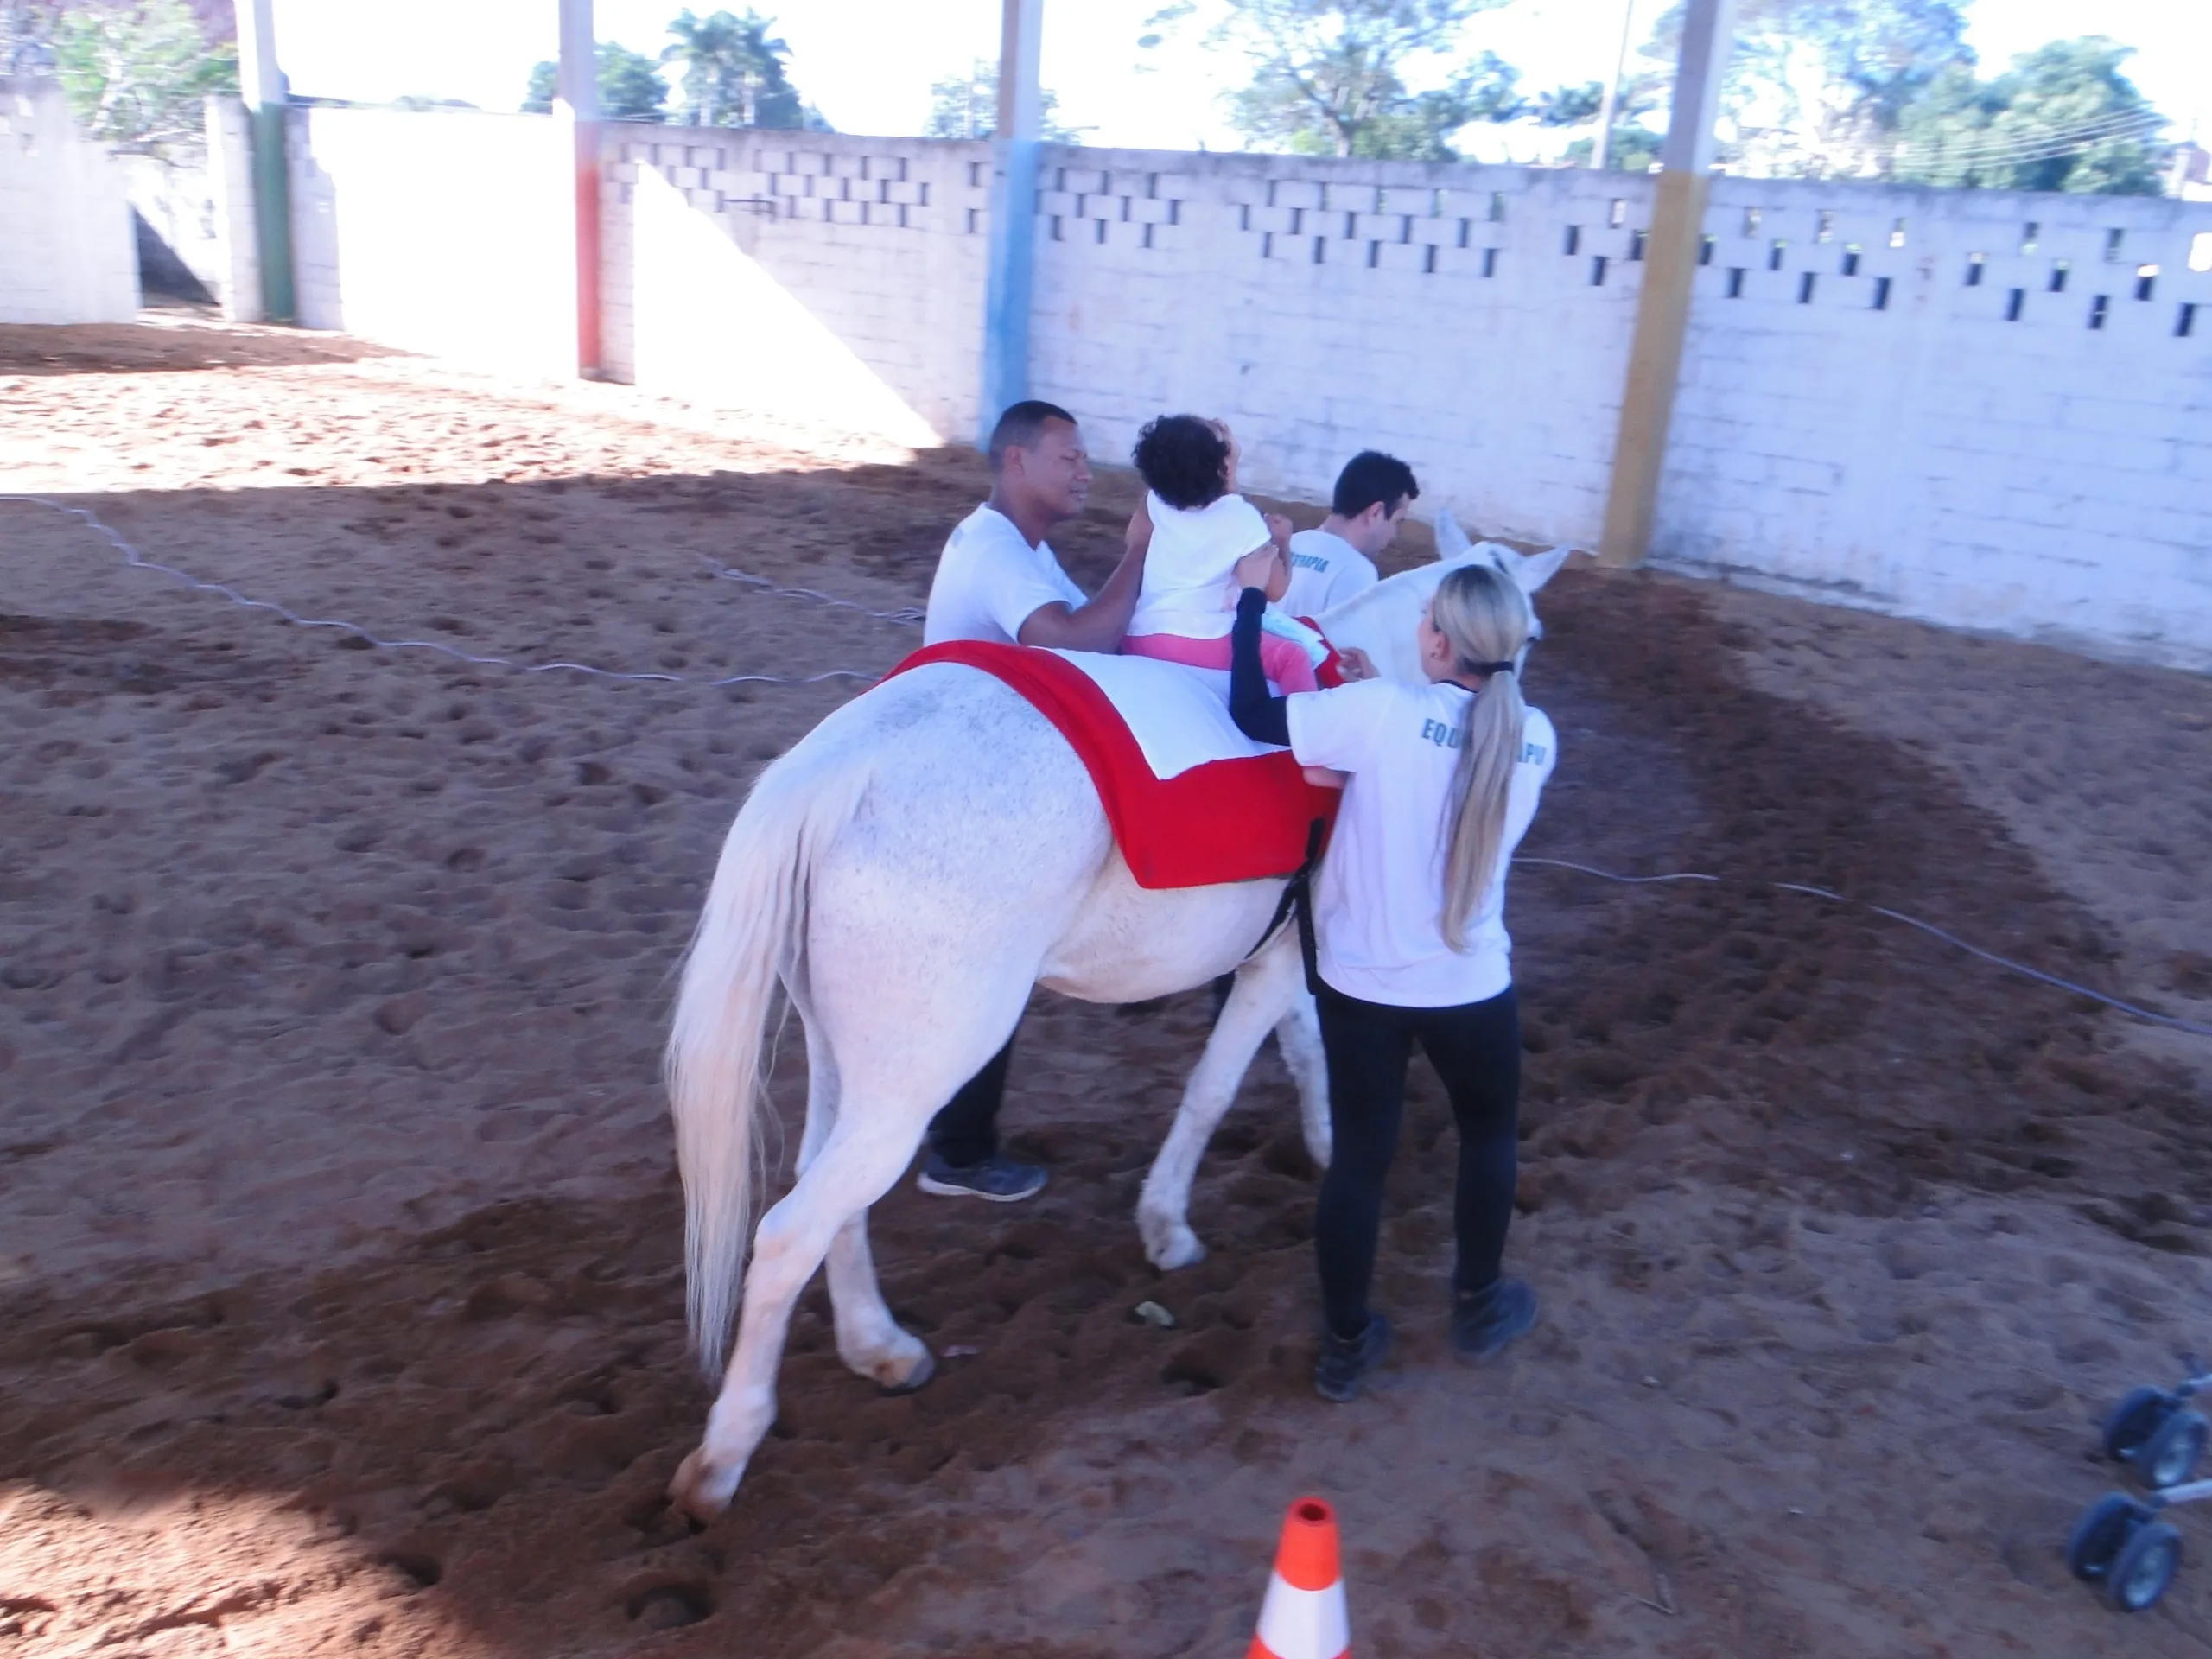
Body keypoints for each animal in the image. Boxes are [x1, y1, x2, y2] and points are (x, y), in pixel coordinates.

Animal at [664, 511, 1566, 1522]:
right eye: (1531, 633)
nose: (1514, 718)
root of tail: (844, 763)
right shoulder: (1279, 965)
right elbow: (1216, 1086)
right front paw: (1167, 1224)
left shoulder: (1285, 959)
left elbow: (1303, 1054)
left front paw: (1327, 1145)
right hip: (912, 1080)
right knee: (788, 1234)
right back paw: (725, 1454)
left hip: (853, 1062)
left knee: (829, 1201)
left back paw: (877, 1347)